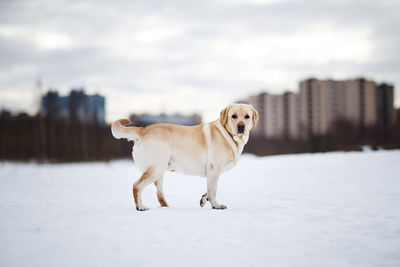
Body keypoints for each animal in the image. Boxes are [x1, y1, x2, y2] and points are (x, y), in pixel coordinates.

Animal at [111, 104, 258, 211]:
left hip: (159, 171)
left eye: (247, 116)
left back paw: (166, 206)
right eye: (234, 116)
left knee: (159, 194)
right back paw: (140, 207)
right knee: (137, 186)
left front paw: (204, 199)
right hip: (156, 168)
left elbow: (209, 189)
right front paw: (216, 205)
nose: (241, 126)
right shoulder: (214, 169)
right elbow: (213, 190)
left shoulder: (212, 173)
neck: (228, 134)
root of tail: (143, 130)